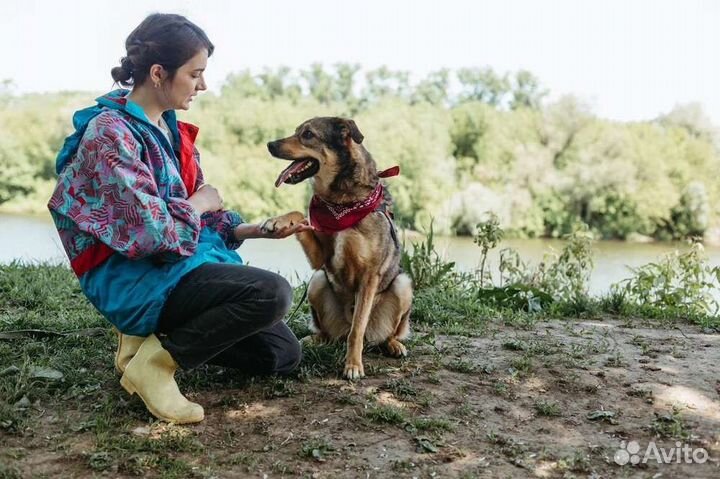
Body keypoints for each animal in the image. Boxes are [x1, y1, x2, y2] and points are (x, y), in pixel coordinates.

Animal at [266, 118, 414, 380]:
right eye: (296, 131)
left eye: (308, 134)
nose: (270, 144)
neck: (341, 203)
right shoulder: (320, 259)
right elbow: (299, 214)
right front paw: (279, 220)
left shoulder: (369, 276)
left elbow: (357, 331)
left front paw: (353, 365)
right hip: (317, 281)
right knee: (329, 333)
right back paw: (314, 339)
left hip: (403, 285)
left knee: (380, 333)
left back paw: (394, 345)